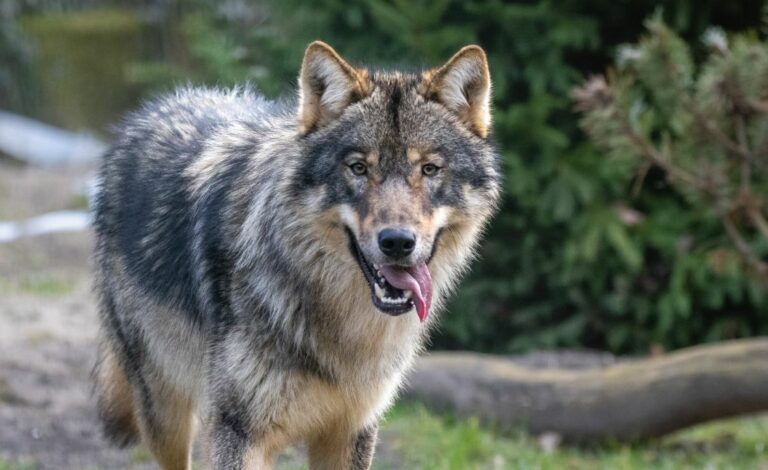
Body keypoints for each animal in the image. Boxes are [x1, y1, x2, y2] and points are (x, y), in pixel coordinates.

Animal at [92, 41, 500, 469]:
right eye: (358, 168)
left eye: (430, 169)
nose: (397, 242)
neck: (341, 332)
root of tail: (158, 106)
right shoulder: (240, 431)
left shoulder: (350, 430)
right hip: (166, 416)